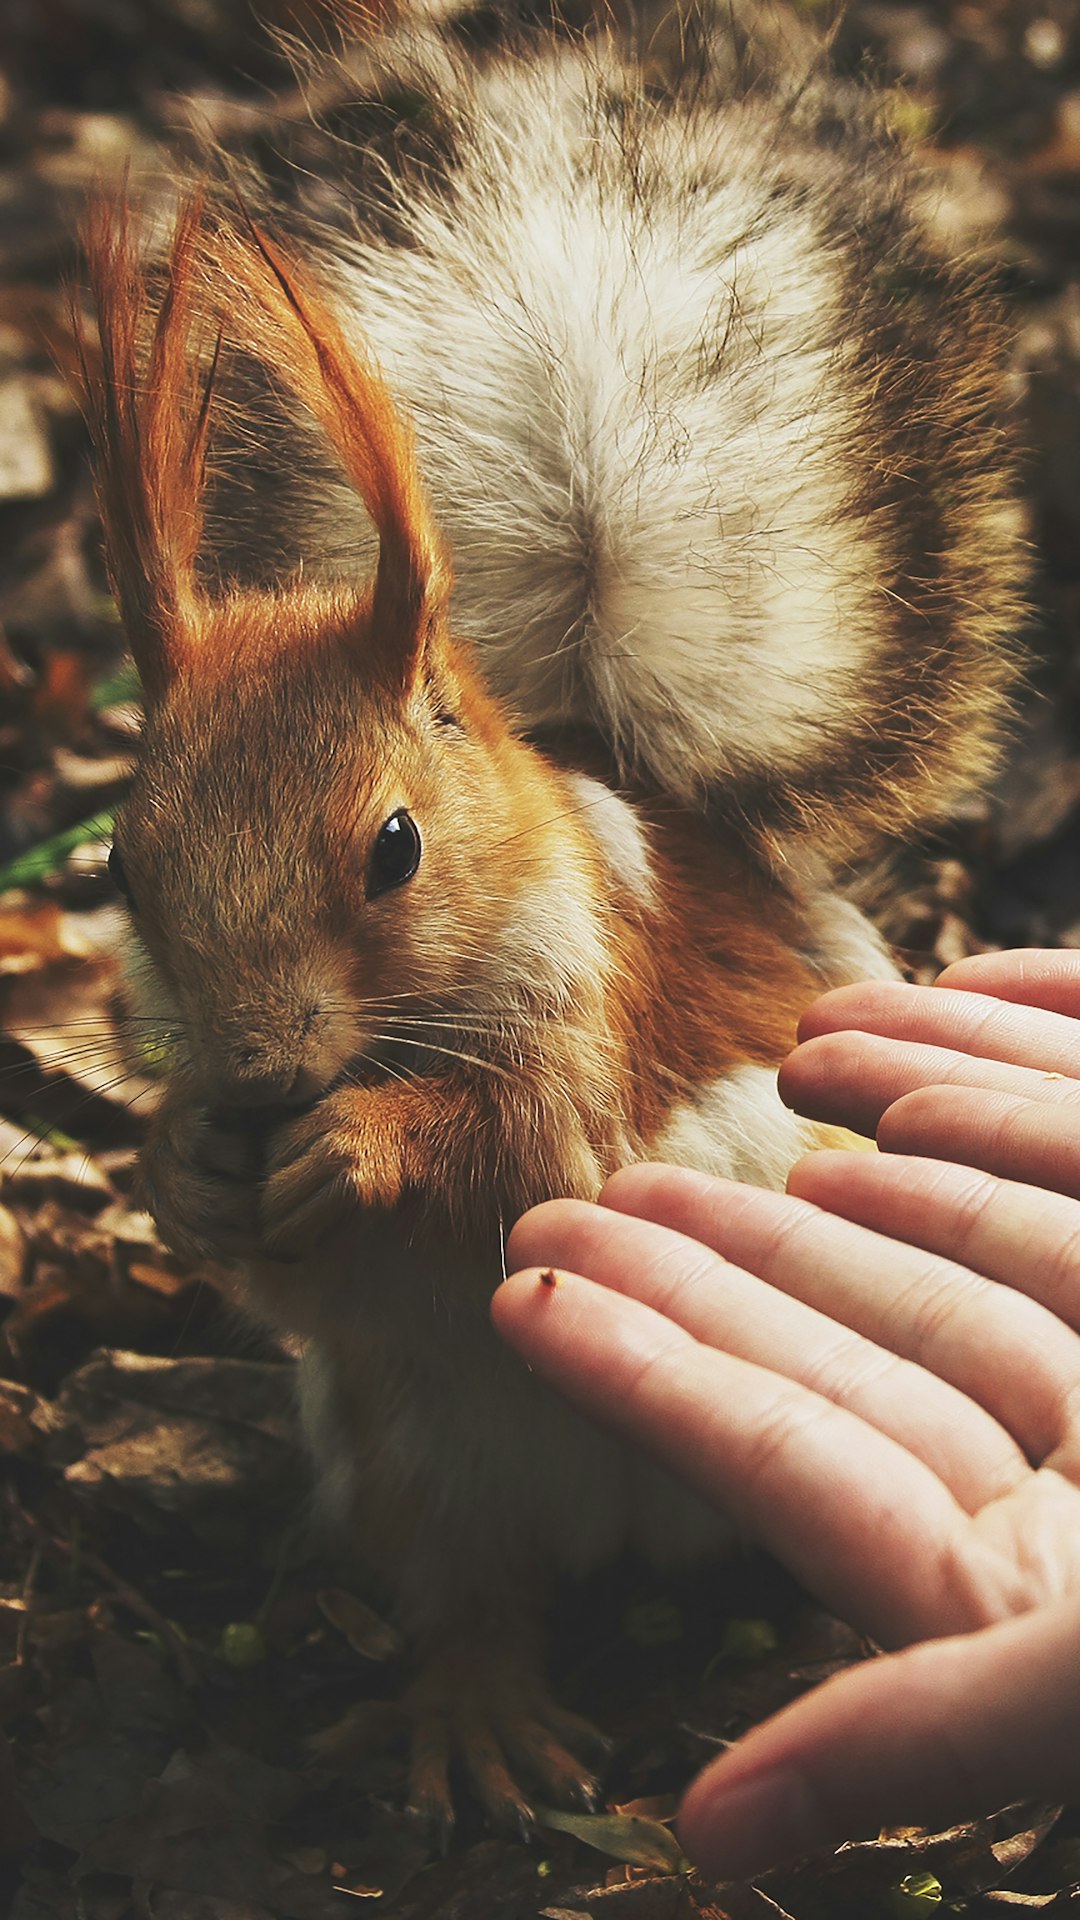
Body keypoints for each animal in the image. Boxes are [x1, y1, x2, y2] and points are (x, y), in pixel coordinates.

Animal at [79, 0, 1022, 1827]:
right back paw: (475, 1712)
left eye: (393, 845)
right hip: (417, 1460)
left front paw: (364, 1141)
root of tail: (632, 1526)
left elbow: (541, 1142)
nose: (259, 1077)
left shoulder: (601, 1003)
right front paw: (185, 1164)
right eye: (118, 864)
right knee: (472, 1592)